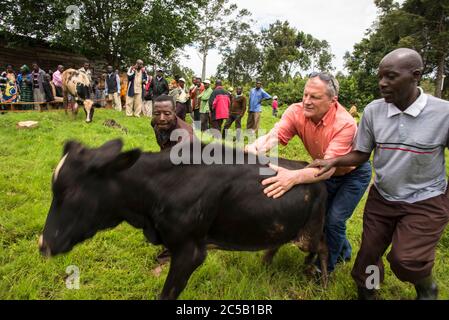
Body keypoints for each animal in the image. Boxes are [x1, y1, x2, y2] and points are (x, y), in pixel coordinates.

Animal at [40, 139, 328, 298]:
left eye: (70, 192)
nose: (43, 244)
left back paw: (321, 280)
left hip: (309, 233)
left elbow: (168, 293)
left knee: (323, 247)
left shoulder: (190, 251)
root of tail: (308, 168)